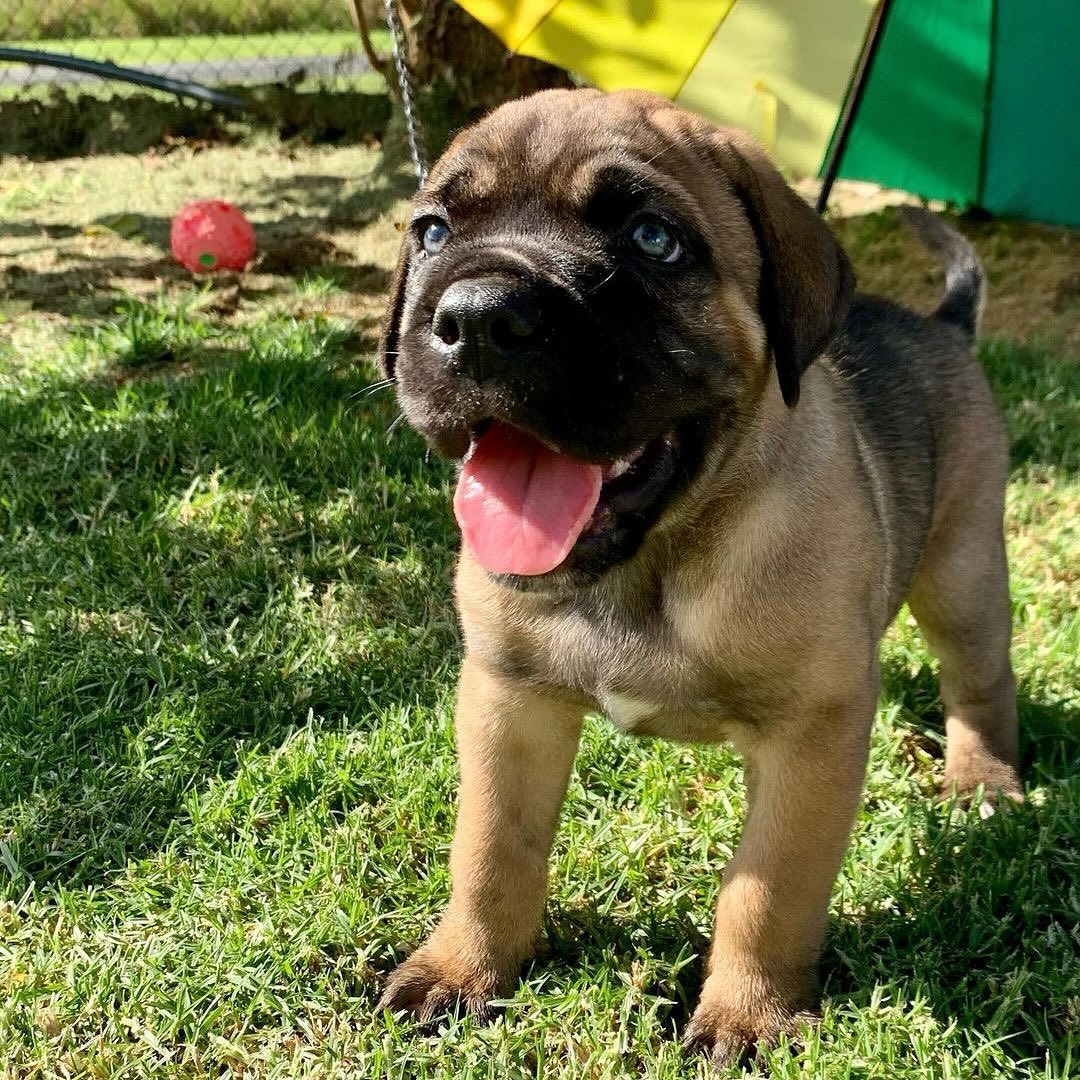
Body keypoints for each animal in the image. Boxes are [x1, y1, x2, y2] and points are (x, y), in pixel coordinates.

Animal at [376, 88, 1022, 1066]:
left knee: (980, 679)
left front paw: (749, 1015)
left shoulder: (810, 735)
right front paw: (462, 970)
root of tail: (940, 324)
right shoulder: (506, 699)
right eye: (434, 232)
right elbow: (491, 852)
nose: (481, 318)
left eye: (653, 239)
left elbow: (767, 889)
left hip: (963, 572)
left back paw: (984, 783)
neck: (648, 566)